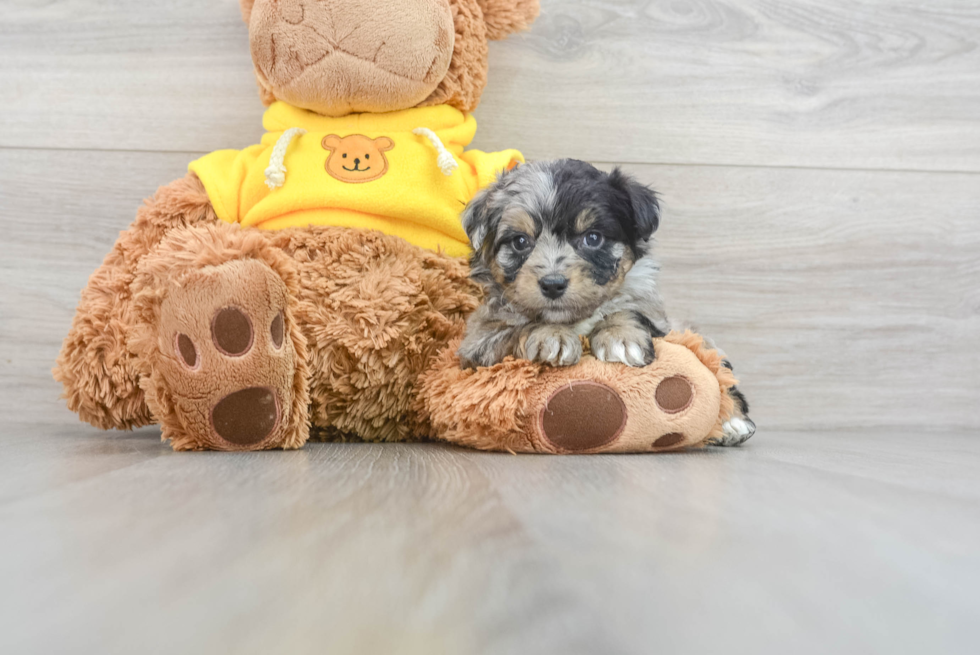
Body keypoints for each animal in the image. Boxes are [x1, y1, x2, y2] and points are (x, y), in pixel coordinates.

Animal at [460, 159, 756, 446]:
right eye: (520, 241)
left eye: (593, 238)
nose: (552, 284)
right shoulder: (479, 341)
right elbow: (519, 328)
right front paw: (550, 336)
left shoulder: (654, 315)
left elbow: (627, 309)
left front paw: (620, 338)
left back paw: (732, 422)